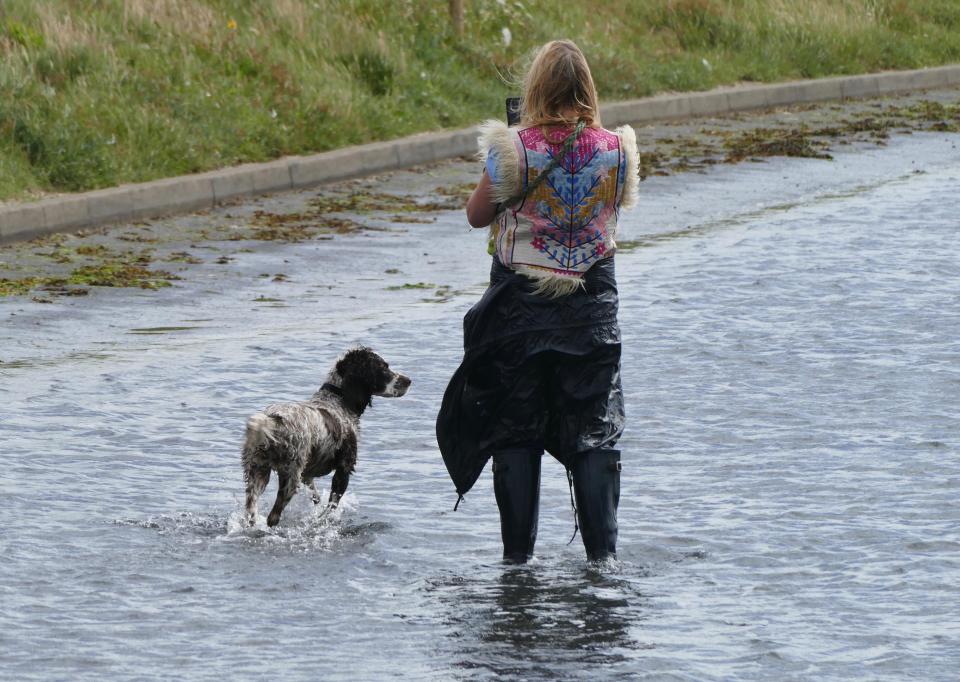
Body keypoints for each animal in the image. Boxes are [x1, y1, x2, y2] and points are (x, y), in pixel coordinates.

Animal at [242, 346, 410, 524]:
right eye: (384, 367)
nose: (409, 380)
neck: (339, 400)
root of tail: (273, 420)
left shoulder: (307, 474)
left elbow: (315, 496)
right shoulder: (344, 469)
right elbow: (331, 506)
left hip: (257, 472)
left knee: (251, 511)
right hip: (290, 476)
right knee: (273, 517)